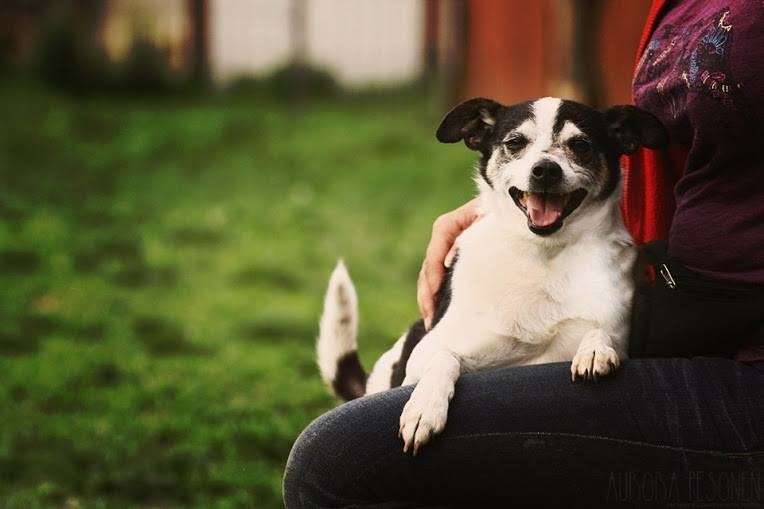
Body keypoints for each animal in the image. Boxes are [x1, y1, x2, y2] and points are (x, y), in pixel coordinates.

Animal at [314, 95, 664, 452]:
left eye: (580, 144)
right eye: (515, 142)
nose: (545, 170)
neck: (542, 254)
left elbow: (601, 331)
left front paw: (595, 349)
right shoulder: (427, 353)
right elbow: (444, 357)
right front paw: (425, 408)